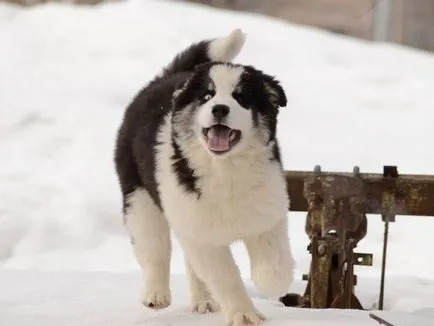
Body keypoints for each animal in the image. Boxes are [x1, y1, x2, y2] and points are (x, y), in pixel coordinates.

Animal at [113, 28, 294, 326]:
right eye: (207, 96)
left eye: (241, 98)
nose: (220, 108)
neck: (224, 169)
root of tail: (167, 77)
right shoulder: (201, 232)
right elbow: (225, 275)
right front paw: (244, 315)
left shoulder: (266, 212)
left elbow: (275, 267)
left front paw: (268, 284)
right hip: (139, 196)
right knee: (154, 248)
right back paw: (156, 294)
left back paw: (204, 301)